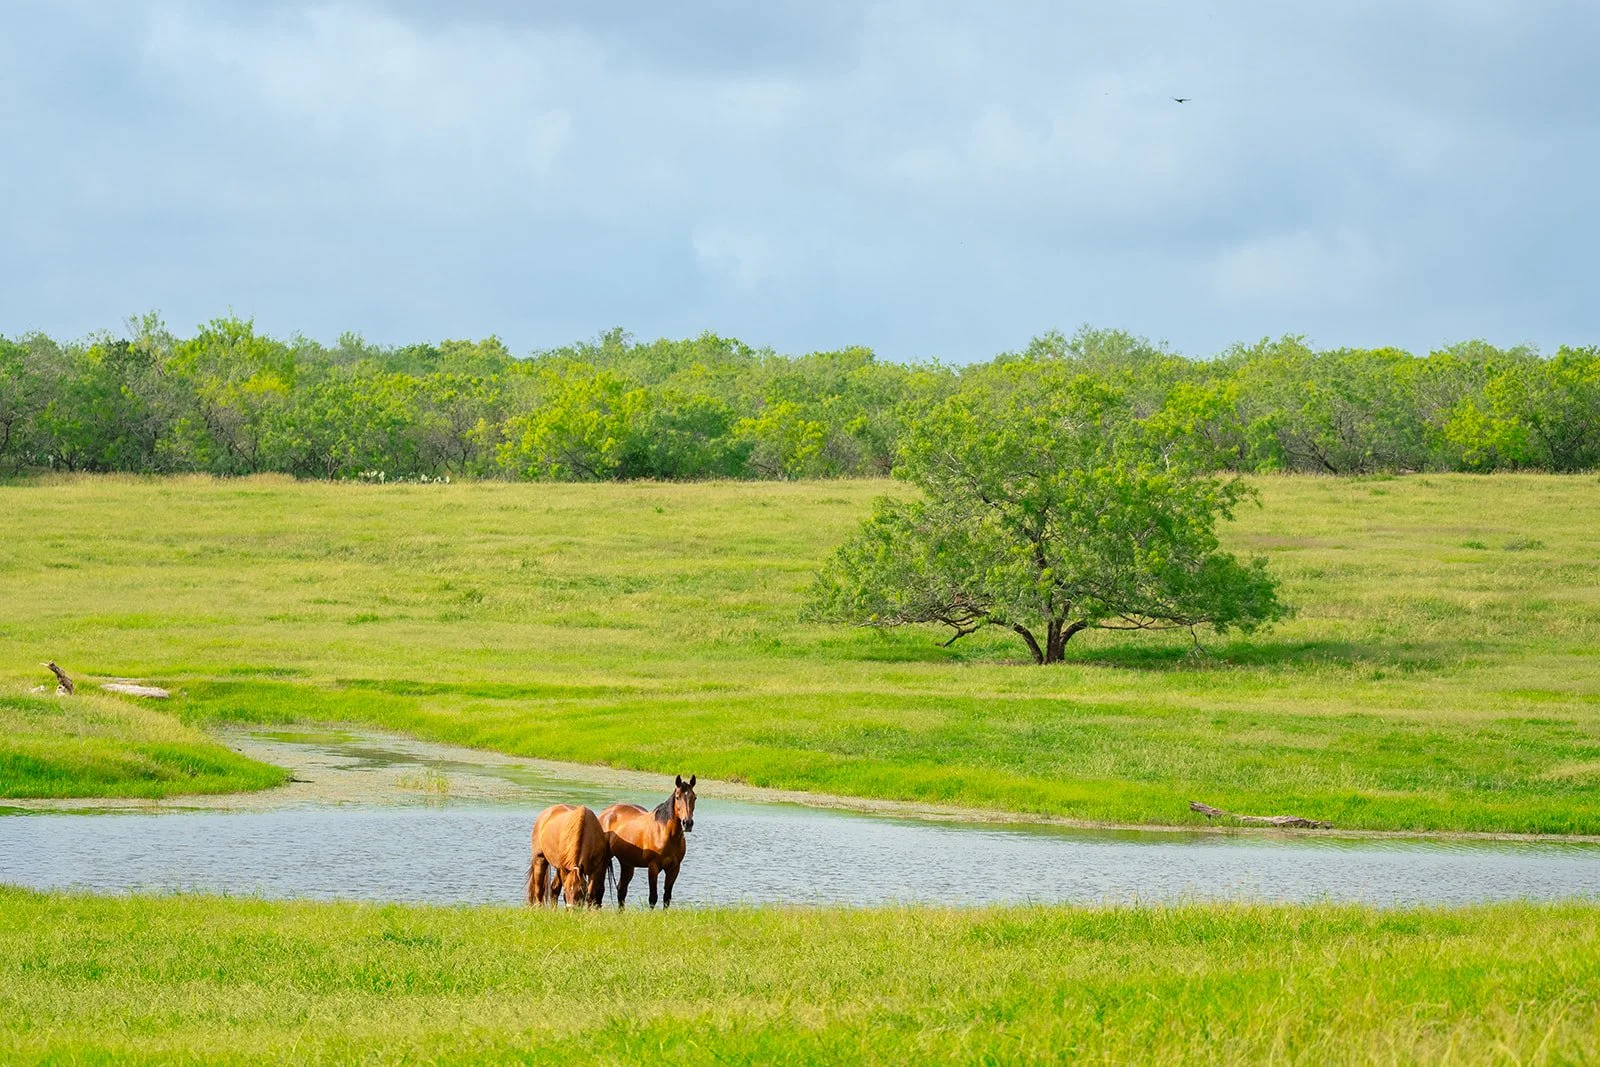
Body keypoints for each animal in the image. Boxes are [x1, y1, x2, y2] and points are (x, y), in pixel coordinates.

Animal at [599, 774, 696, 909]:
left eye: (694, 797)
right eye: (677, 797)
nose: (687, 823)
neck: (665, 834)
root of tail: (606, 812)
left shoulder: (674, 868)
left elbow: (667, 897)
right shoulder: (653, 867)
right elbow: (653, 898)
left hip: (627, 863)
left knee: (621, 889)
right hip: (604, 859)